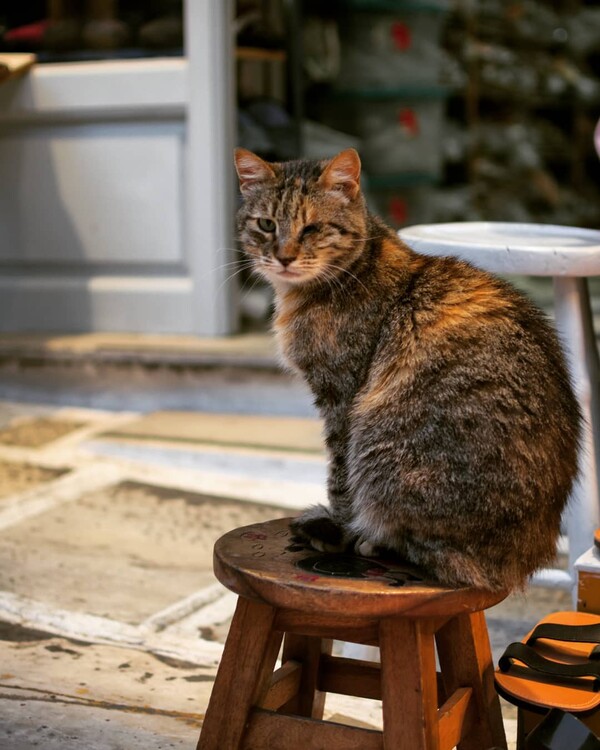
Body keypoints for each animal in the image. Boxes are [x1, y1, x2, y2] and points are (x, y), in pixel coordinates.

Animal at [232, 147, 580, 592]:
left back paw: (362, 538)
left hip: (382, 444)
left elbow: (340, 481)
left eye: (311, 228)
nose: (284, 256)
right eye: (266, 224)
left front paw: (339, 527)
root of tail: (521, 566)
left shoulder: (342, 400)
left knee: (436, 556)